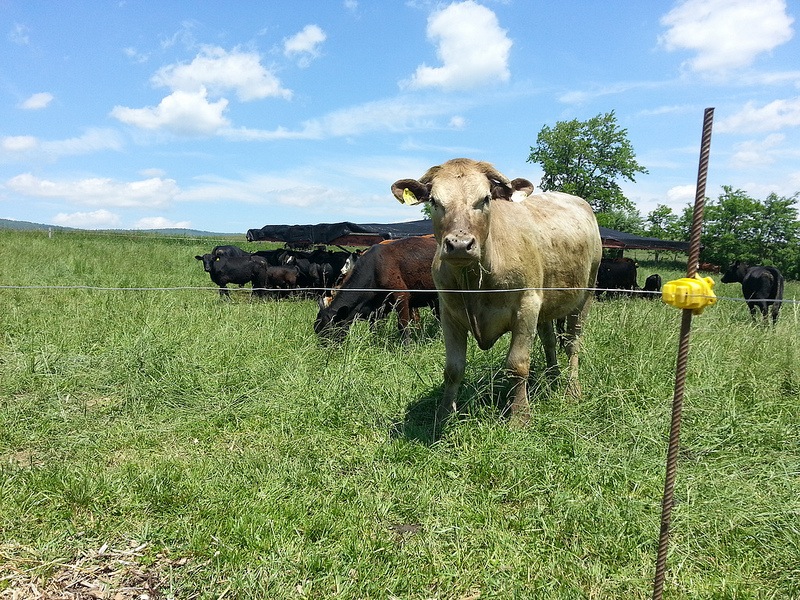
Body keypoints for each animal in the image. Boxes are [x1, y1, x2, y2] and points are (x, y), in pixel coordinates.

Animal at [390, 157, 604, 424]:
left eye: (485, 198)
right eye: (434, 201)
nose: (459, 244)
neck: (475, 282)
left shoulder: (526, 306)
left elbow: (517, 365)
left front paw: (519, 415)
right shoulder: (449, 314)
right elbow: (453, 369)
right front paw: (444, 414)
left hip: (585, 295)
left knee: (572, 343)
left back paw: (572, 389)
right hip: (547, 303)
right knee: (550, 341)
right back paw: (552, 377)